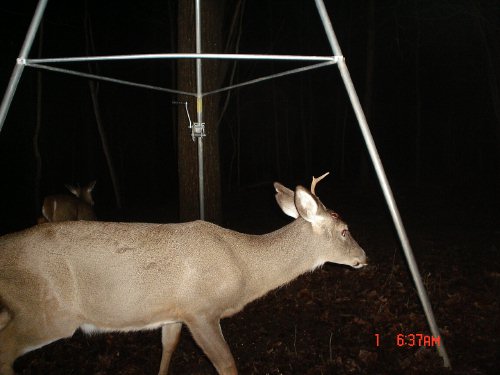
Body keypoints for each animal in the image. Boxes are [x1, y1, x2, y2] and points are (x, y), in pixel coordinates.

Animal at [0, 174, 368, 375]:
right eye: (345, 230)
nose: (364, 258)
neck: (244, 268)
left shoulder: (173, 311)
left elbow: (169, 347)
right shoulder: (200, 310)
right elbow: (227, 365)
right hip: (48, 311)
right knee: (6, 350)